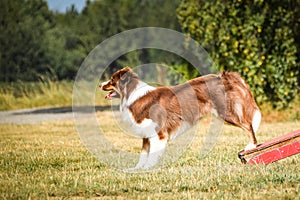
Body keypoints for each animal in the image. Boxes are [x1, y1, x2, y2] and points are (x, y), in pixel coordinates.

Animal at [99, 67, 262, 169]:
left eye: (111, 80)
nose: (100, 84)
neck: (132, 94)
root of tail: (222, 76)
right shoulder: (146, 133)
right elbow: (143, 154)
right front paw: (138, 169)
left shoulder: (159, 133)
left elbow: (152, 154)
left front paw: (148, 168)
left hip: (226, 112)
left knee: (248, 125)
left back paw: (251, 146)